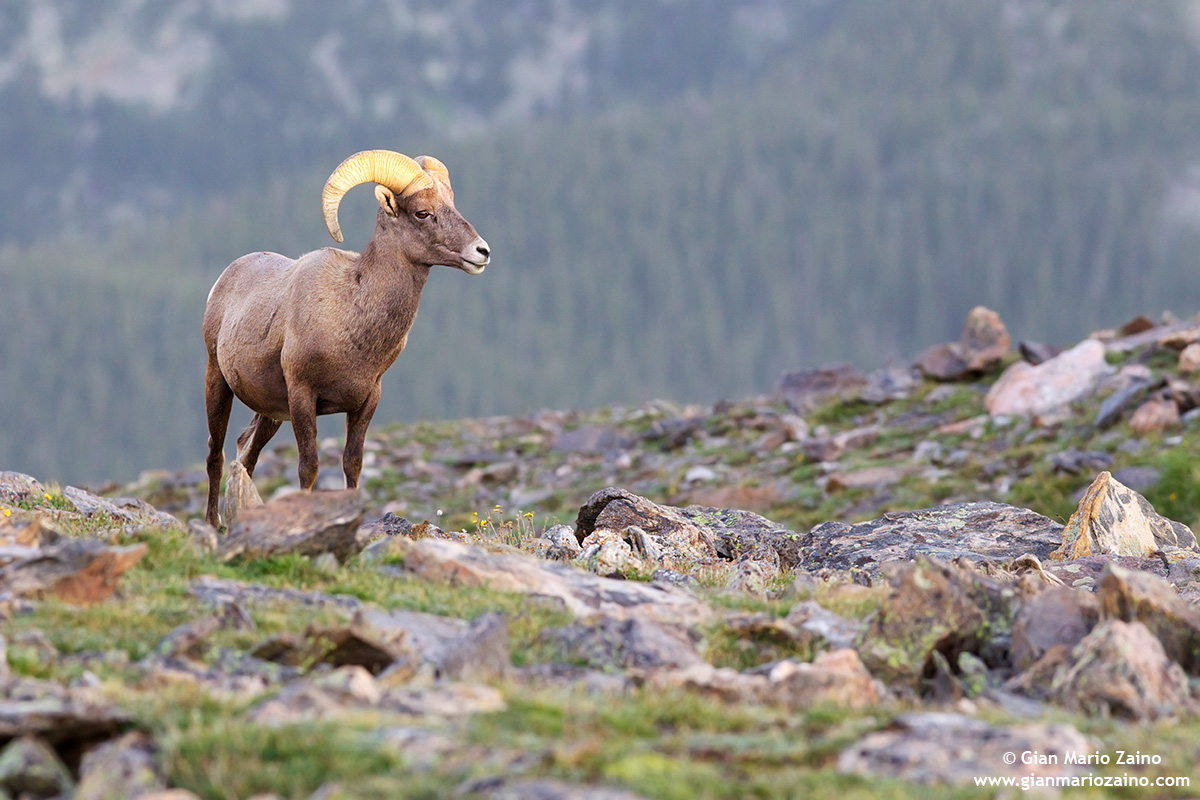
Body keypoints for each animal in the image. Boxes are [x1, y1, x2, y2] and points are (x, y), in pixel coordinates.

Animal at [202, 150, 490, 527]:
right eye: (422, 213)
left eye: (451, 204)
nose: (482, 252)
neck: (351, 315)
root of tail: (226, 276)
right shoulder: (302, 397)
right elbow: (308, 468)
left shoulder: (366, 402)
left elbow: (352, 464)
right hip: (217, 381)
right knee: (215, 454)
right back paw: (213, 523)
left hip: (271, 414)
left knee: (246, 453)